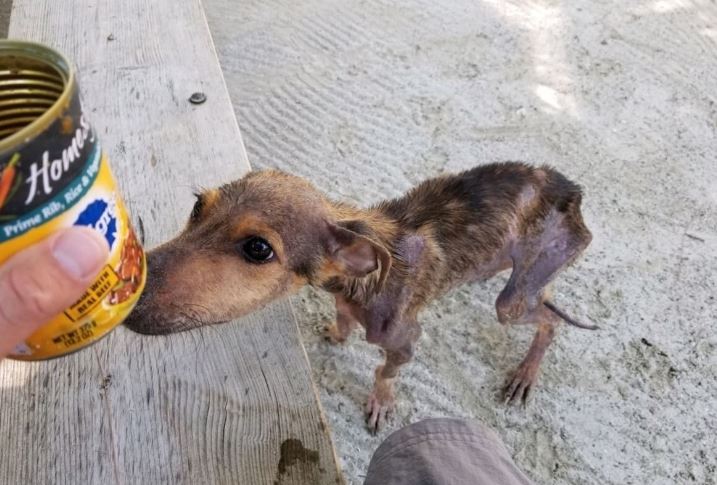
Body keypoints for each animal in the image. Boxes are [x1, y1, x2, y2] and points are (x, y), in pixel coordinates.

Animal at [127, 162, 592, 432]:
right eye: (197, 207)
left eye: (259, 248)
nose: (128, 296)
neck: (360, 280)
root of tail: (572, 190)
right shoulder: (344, 301)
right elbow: (343, 320)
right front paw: (337, 332)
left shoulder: (405, 341)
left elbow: (385, 372)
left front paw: (381, 404)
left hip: (511, 304)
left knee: (549, 321)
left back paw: (524, 374)